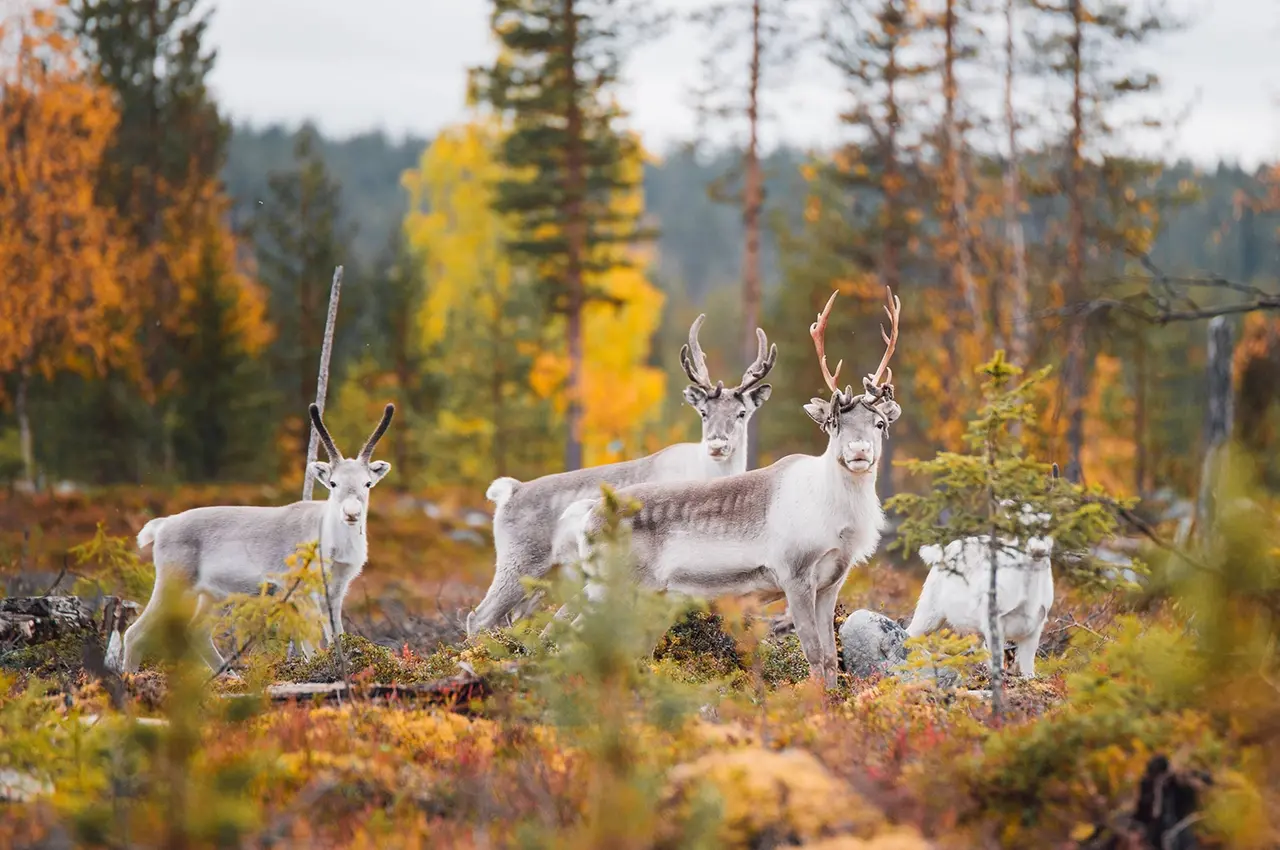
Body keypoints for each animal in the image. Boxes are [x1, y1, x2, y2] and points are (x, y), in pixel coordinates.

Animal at [112, 403, 395, 674]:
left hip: (214, 594)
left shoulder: (336, 589)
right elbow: (311, 643)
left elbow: (336, 635)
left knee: (197, 632)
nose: (351, 513)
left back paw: (230, 678)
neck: (331, 543)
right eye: (333, 483)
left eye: (368, 483)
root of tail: (161, 525)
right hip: (173, 582)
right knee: (135, 633)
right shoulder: (300, 589)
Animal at [465, 314, 777, 637]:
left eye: (741, 413)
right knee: (479, 616)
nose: (717, 445)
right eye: (703, 412)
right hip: (518, 563)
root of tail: (509, 491)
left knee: (519, 617)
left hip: (547, 577)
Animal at [571, 287, 902, 686]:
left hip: (648, 597)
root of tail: (588, 519)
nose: (858, 451)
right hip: (611, 586)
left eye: (880, 423)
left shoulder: (831, 583)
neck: (838, 518)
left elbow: (829, 660)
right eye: (834, 423)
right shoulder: (795, 576)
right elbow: (814, 656)